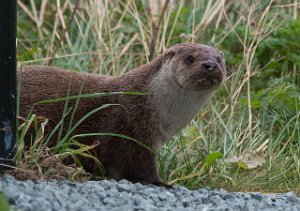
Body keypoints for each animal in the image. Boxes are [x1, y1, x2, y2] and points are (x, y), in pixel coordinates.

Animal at [19, 42, 225, 186]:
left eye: (219, 60)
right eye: (190, 58)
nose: (210, 65)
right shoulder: (131, 129)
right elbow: (136, 166)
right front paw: (160, 183)